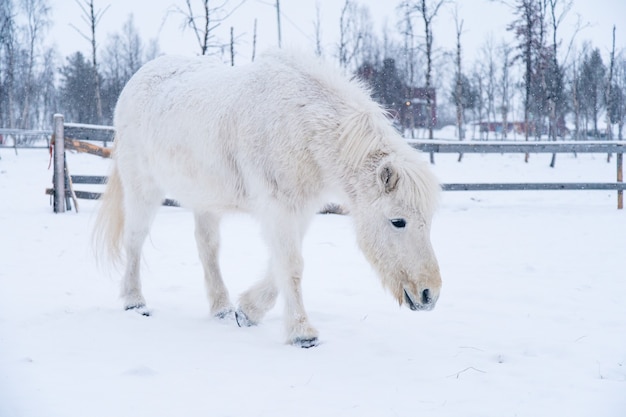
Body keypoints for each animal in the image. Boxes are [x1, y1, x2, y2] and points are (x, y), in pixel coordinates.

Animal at [95, 50, 442, 346]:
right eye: (398, 221)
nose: (430, 295)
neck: (299, 122)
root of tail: (138, 78)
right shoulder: (279, 207)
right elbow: (291, 264)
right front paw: (302, 333)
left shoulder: (300, 209)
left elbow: (282, 264)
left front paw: (247, 311)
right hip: (143, 187)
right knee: (135, 239)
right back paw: (135, 302)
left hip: (205, 200)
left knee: (207, 248)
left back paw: (221, 308)